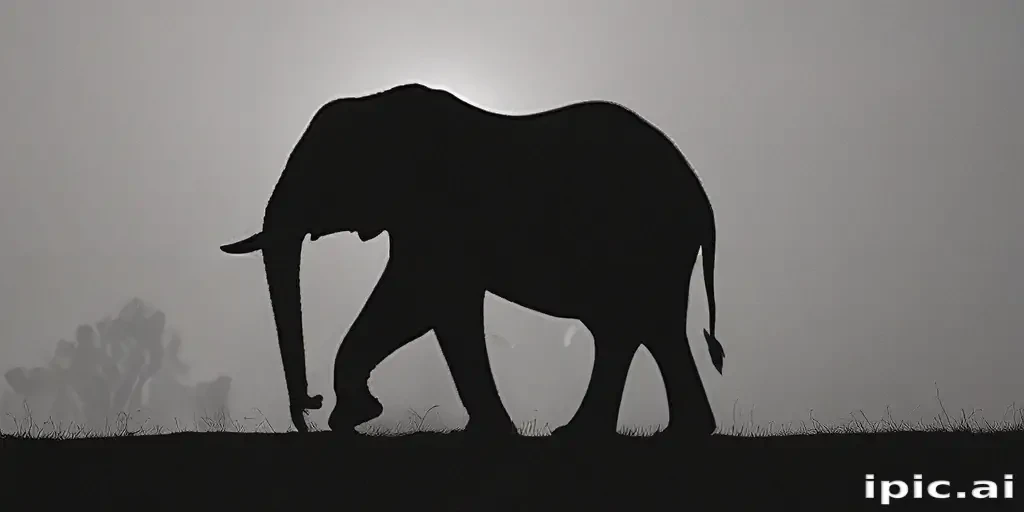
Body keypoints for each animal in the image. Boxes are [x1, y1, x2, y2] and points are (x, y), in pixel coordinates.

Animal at [220, 83, 725, 438]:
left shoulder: (441, 214)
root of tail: (703, 200)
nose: (311, 405)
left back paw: (589, 435)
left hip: (645, 240)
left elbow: (422, 301)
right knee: (648, 328)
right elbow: (434, 309)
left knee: (630, 326)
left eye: (325, 172)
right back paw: (666, 434)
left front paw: (356, 416)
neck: (377, 105)